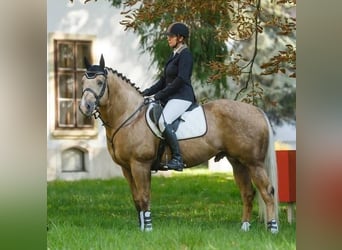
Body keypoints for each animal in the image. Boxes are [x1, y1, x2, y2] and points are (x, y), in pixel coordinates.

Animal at [79, 54, 278, 232]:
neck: (130, 117)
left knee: (267, 191)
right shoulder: (126, 168)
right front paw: (141, 227)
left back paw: (272, 228)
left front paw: (148, 228)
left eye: (100, 82)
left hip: (254, 163)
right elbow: (136, 198)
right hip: (238, 163)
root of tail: (257, 110)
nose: (85, 107)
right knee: (248, 193)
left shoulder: (140, 165)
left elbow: (144, 196)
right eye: (82, 82)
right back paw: (245, 227)